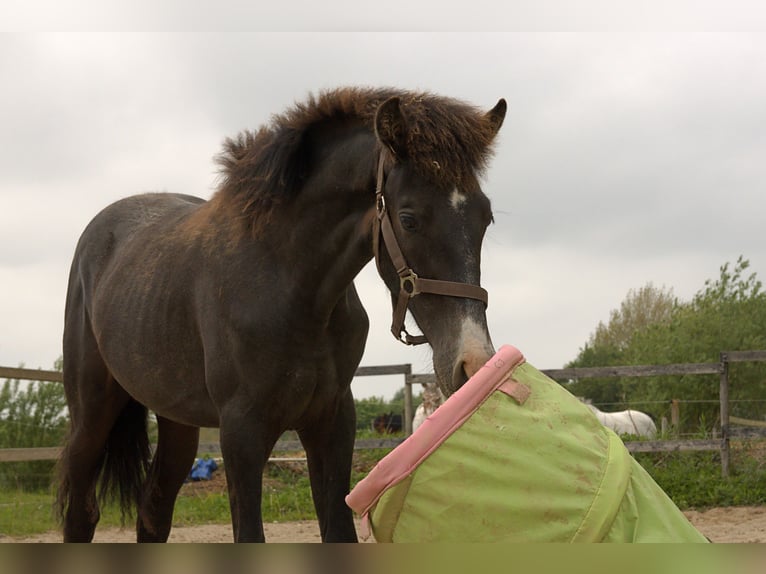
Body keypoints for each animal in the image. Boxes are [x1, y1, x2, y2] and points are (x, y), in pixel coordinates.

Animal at [56, 87, 506, 542]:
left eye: (485, 217)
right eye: (409, 219)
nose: (474, 362)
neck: (291, 288)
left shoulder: (331, 423)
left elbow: (338, 531)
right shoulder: (241, 433)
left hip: (177, 422)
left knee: (153, 512)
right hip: (92, 412)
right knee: (81, 514)